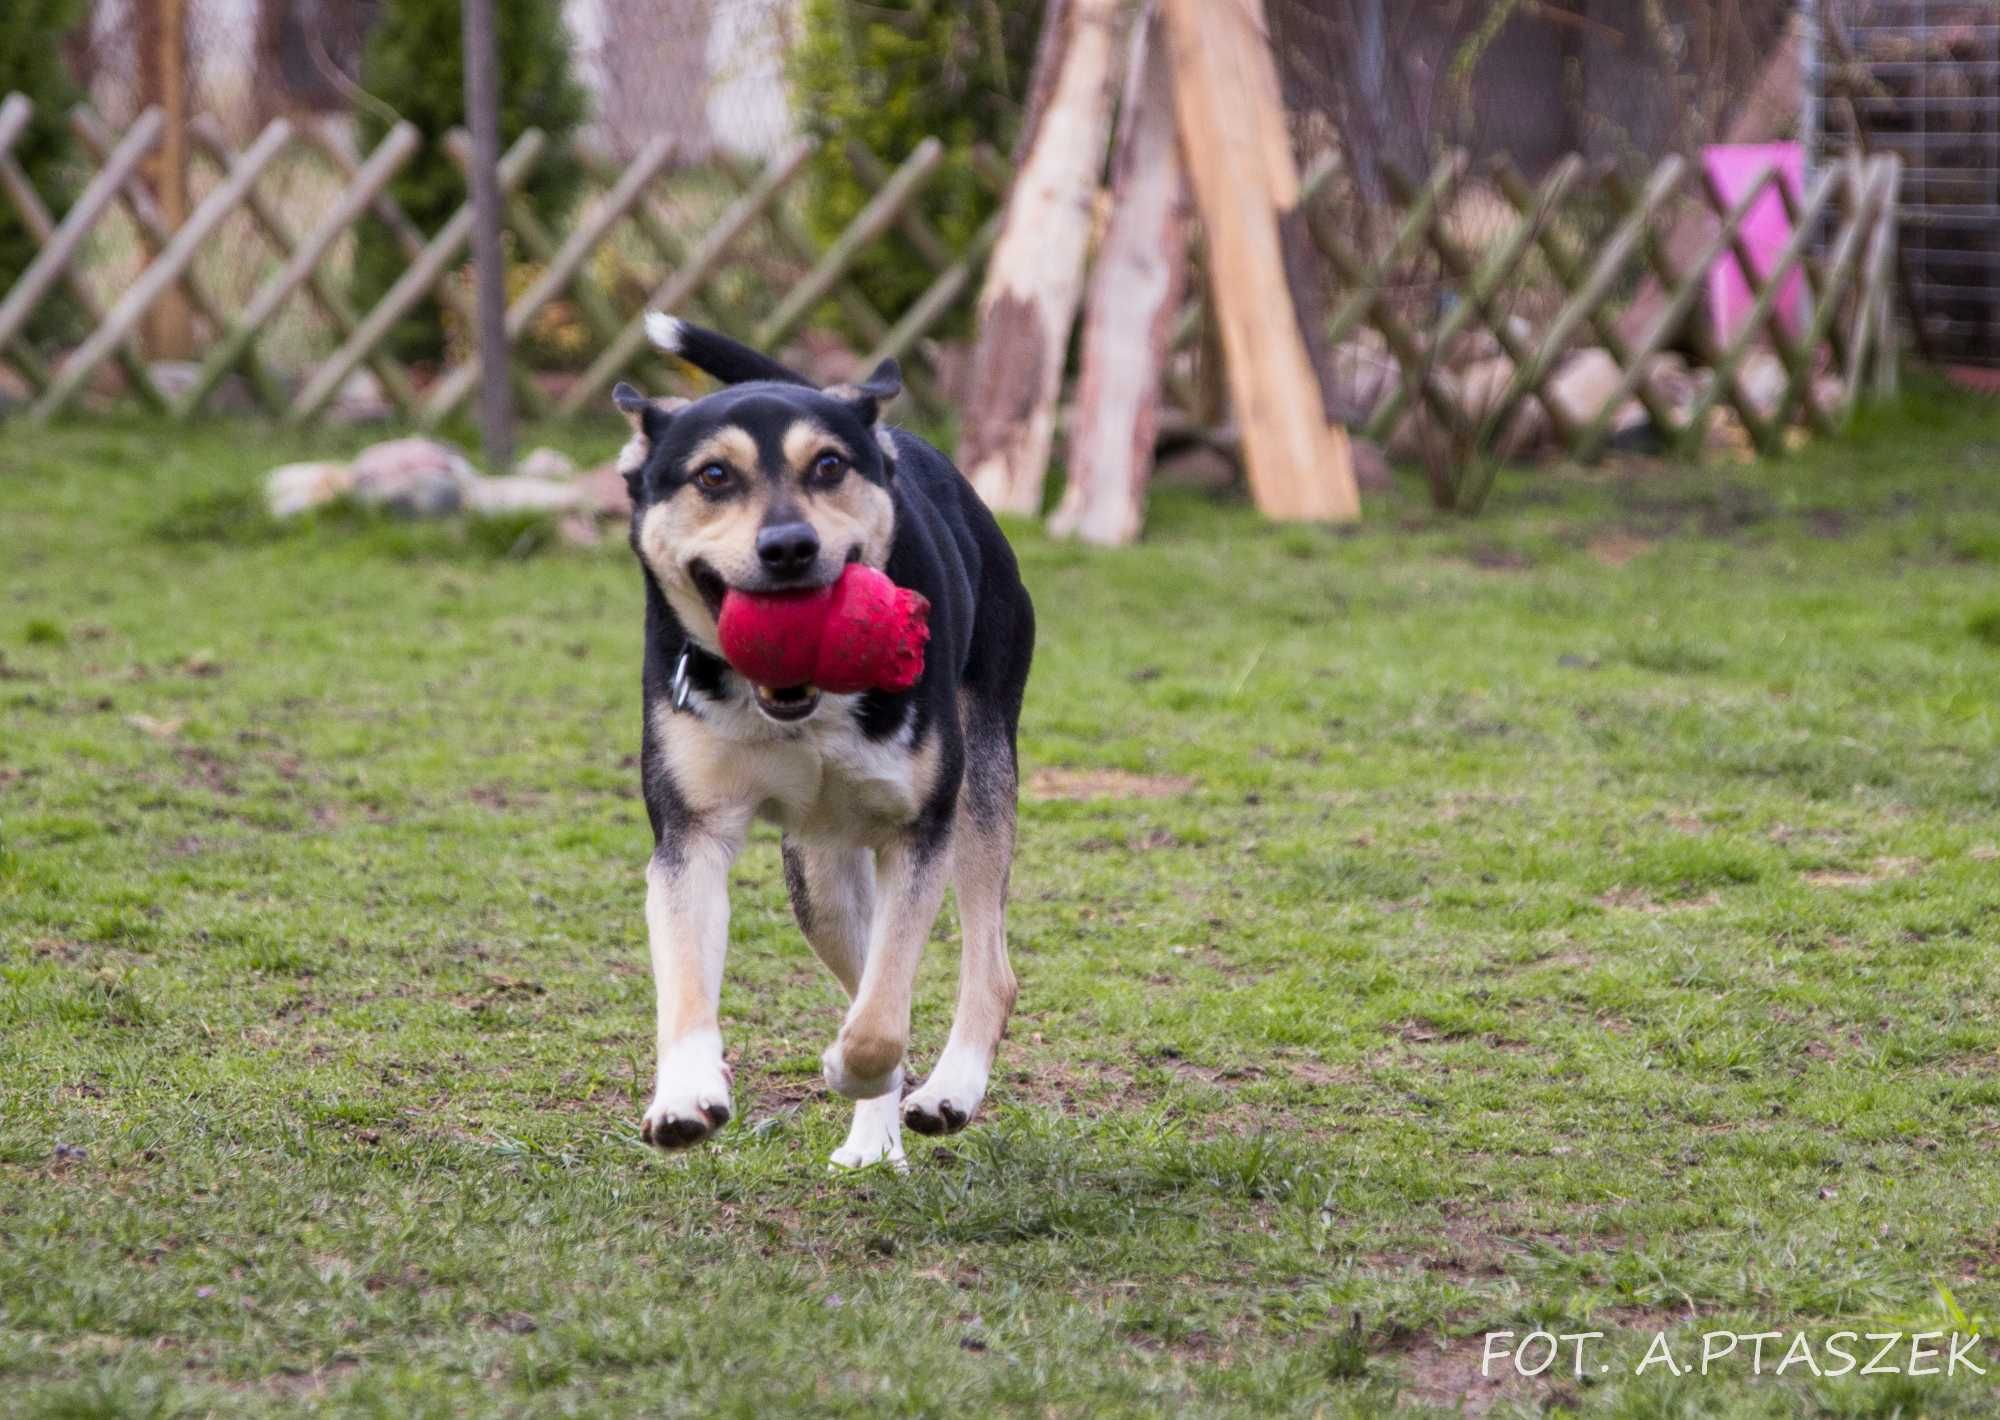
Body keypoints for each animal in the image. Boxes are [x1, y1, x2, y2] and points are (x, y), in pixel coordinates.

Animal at [616, 318, 1040, 1176]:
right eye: (714, 475)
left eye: (829, 466)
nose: (787, 546)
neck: (797, 706)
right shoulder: (690, 833)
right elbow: (684, 976)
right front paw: (684, 1097)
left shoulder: (918, 828)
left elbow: (881, 1019)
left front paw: (851, 1066)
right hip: (817, 866)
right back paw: (874, 1140)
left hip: (980, 783)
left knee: (985, 967)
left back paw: (947, 1092)